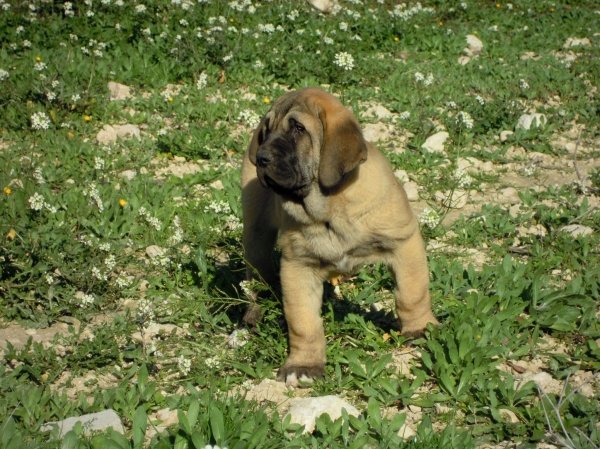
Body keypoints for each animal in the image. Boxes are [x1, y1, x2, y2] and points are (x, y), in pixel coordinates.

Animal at [239, 87, 436, 384]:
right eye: (267, 129)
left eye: (298, 128)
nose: (261, 157)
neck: (329, 208)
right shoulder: (298, 265)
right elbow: (303, 321)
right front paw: (304, 364)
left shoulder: (404, 242)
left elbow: (413, 292)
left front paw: (421, 328)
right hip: (255, 233)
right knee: (256, 275)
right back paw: (254, 313)